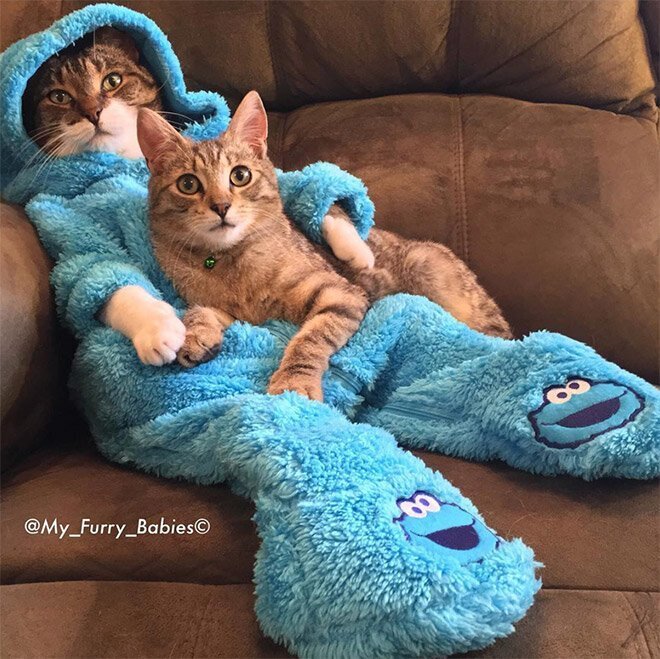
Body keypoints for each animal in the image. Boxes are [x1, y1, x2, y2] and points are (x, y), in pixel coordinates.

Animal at [138, 91, 510, 402]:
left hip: (430, 269)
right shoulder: (224, 309)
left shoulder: (340, 295)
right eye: (188, 184)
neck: (229, 261)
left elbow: (309, 341)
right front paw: (193, 335)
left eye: (240, 176)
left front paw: (295, 383)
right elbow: (199, 311)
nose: (221, 206)